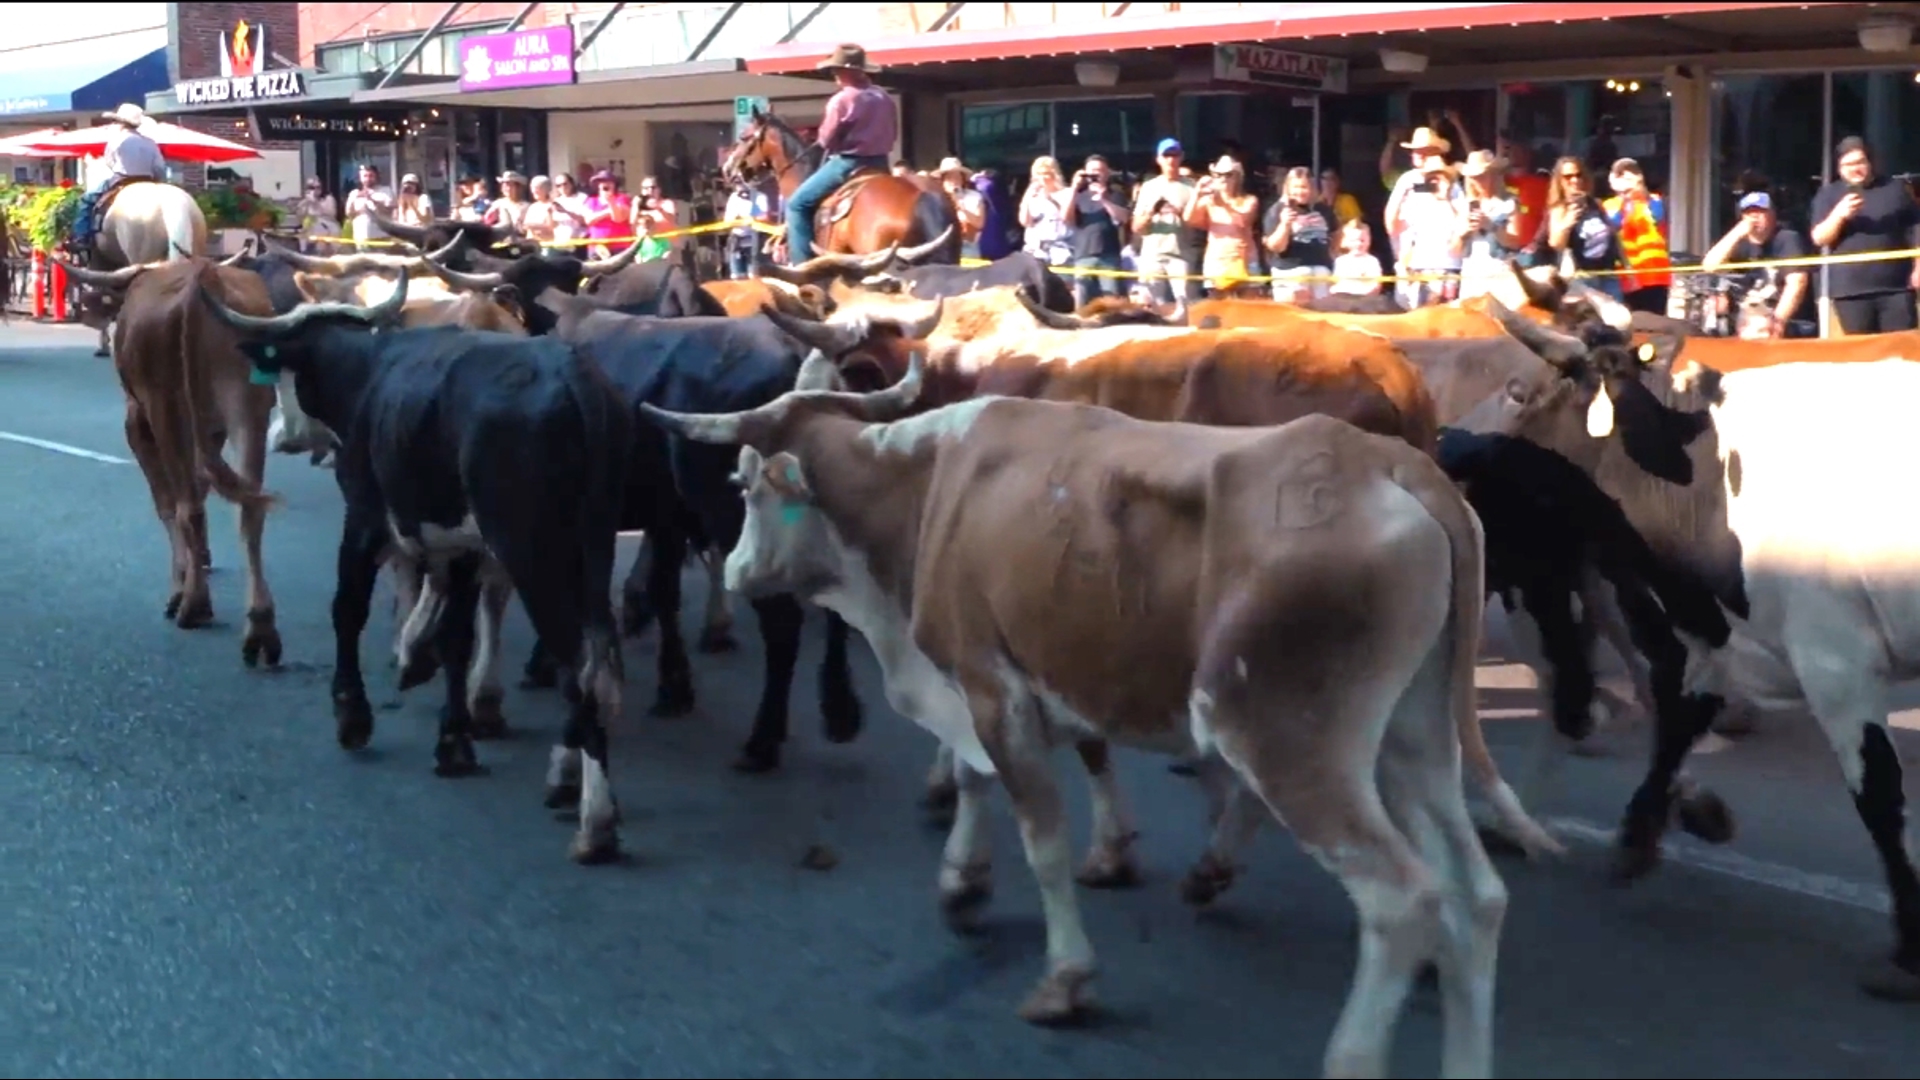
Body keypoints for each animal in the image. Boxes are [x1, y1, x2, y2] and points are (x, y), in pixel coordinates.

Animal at [194, 270, 633, 864]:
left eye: (282, 373)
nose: (278, 433)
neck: (366, 371)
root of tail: (574, 379)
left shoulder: (364, 515)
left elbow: (348, 608)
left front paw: (352, 713)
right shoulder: (462, 545)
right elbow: (455, 639)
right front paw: (453, 741)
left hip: (533, 551)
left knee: (581, 670)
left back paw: (595, 821)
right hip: (592, 548)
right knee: (596, 661)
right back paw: (571, 780)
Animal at [645, 355, 1559, 1068]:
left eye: (743, 483)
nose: (734, 571)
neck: (926, 491)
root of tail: (1386, 463)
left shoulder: (991, 686)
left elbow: (1041, 839)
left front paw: (1065, 976)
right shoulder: (998, 681)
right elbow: (991, 778)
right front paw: (965, 880)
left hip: (1287, 738)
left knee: (1402, 903)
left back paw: (1350, 1052)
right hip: (1413, 736)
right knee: (1475, 897)